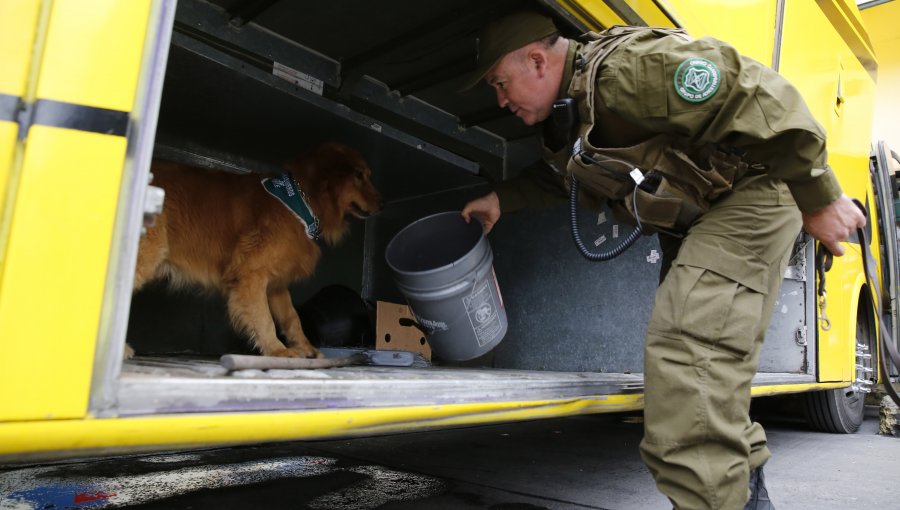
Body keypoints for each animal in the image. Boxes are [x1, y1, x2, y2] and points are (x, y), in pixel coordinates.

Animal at [128, 143, 382, 358]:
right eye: (359, 176)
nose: (383, 205)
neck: (300, 203)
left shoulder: (277, 283)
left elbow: (291, 317)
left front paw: (306, 348)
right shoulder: (251, 274)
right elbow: (264, 318)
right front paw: (278, 351)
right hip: (148, 253)